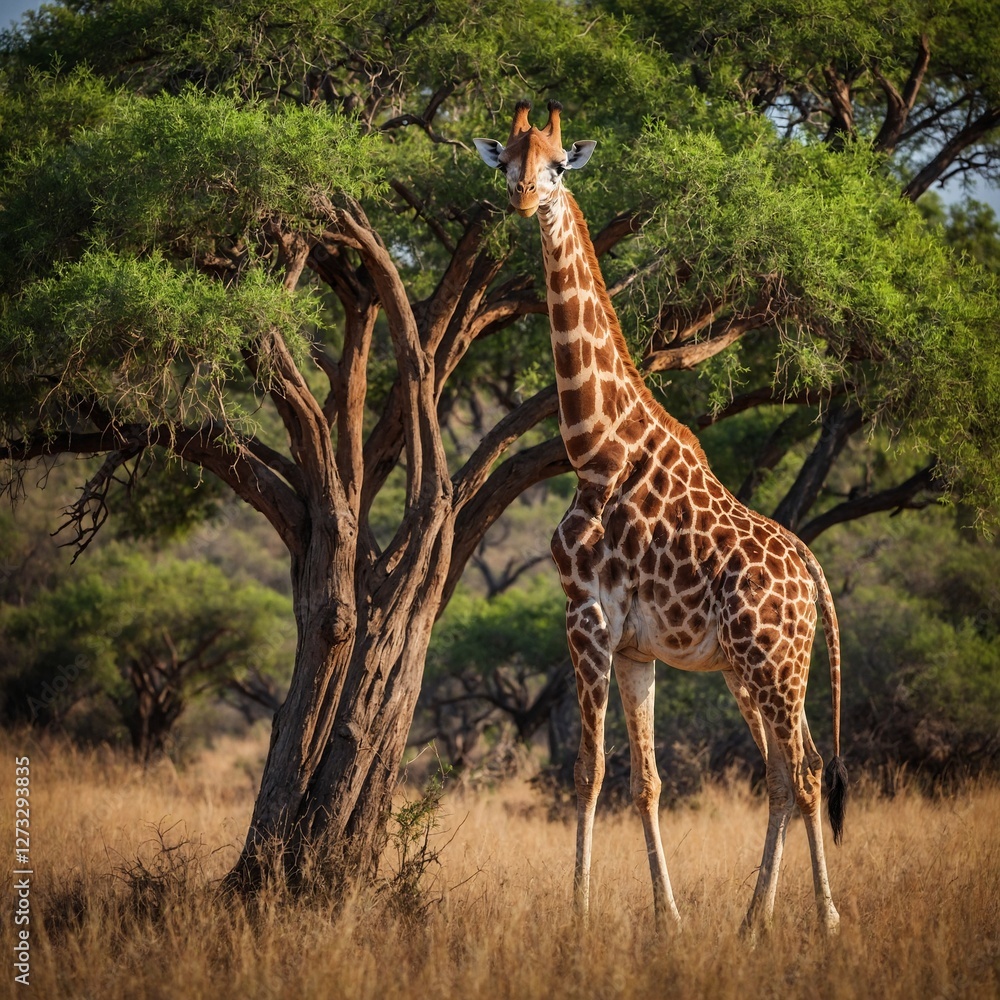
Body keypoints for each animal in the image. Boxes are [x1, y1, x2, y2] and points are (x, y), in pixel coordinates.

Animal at [475, 100, 847, 934]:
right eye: (506, 163)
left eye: (558, 167)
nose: (523, 201)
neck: (593, 446)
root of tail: (812, 573)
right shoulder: (636, 645)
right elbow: (643, 781)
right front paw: (666, 917)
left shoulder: (583, 614)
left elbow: (587, 770)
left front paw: (578, 915)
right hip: (756, 667)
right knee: (788, 771)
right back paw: (753, 922)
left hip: (773, 662)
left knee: (804, 772)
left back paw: (824, 919)